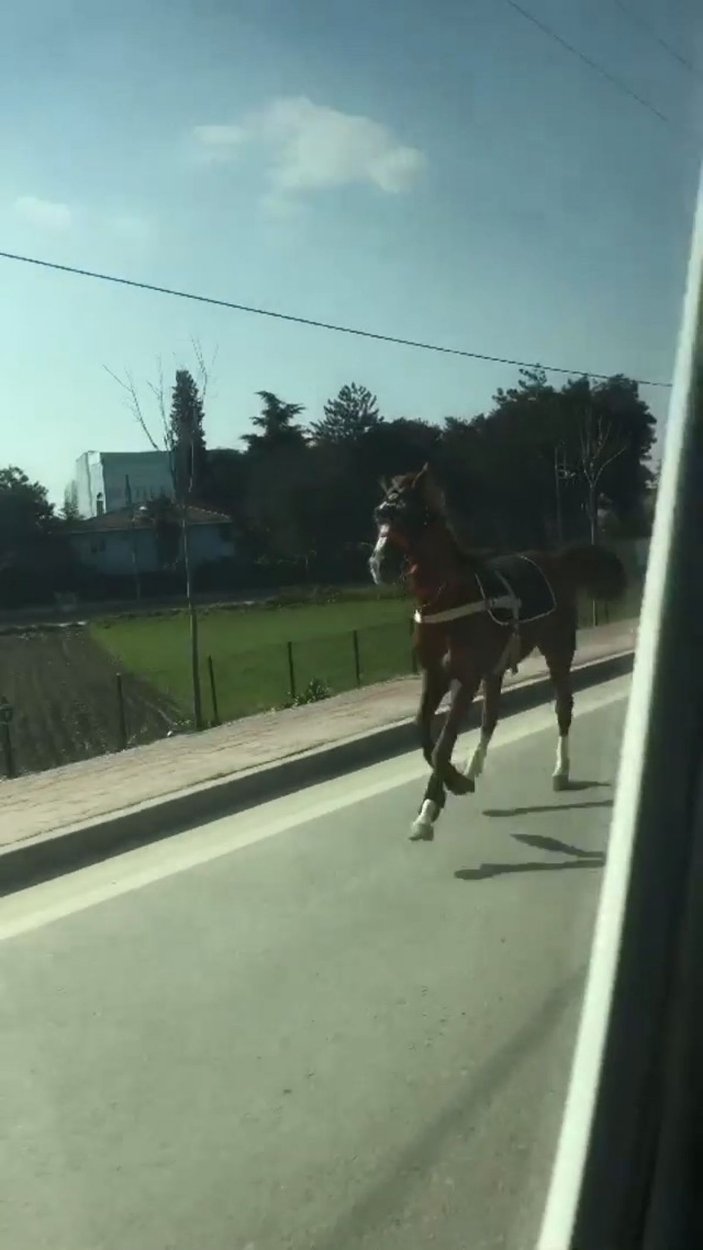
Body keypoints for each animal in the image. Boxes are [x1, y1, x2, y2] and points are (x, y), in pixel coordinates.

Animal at [367, 467, 622, 840]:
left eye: (410, 515)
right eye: (380, 515)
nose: (378, 564)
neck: (450, 598)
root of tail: (556, 560)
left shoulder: (466, 677)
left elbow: (443, 745)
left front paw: (431, 806)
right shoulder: (436, 674)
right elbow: (423, 733)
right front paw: (451, 786)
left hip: (557, 650)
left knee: (563, 707)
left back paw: (561, 770)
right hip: (497, 668)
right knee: (491, 717)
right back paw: (473, 768)